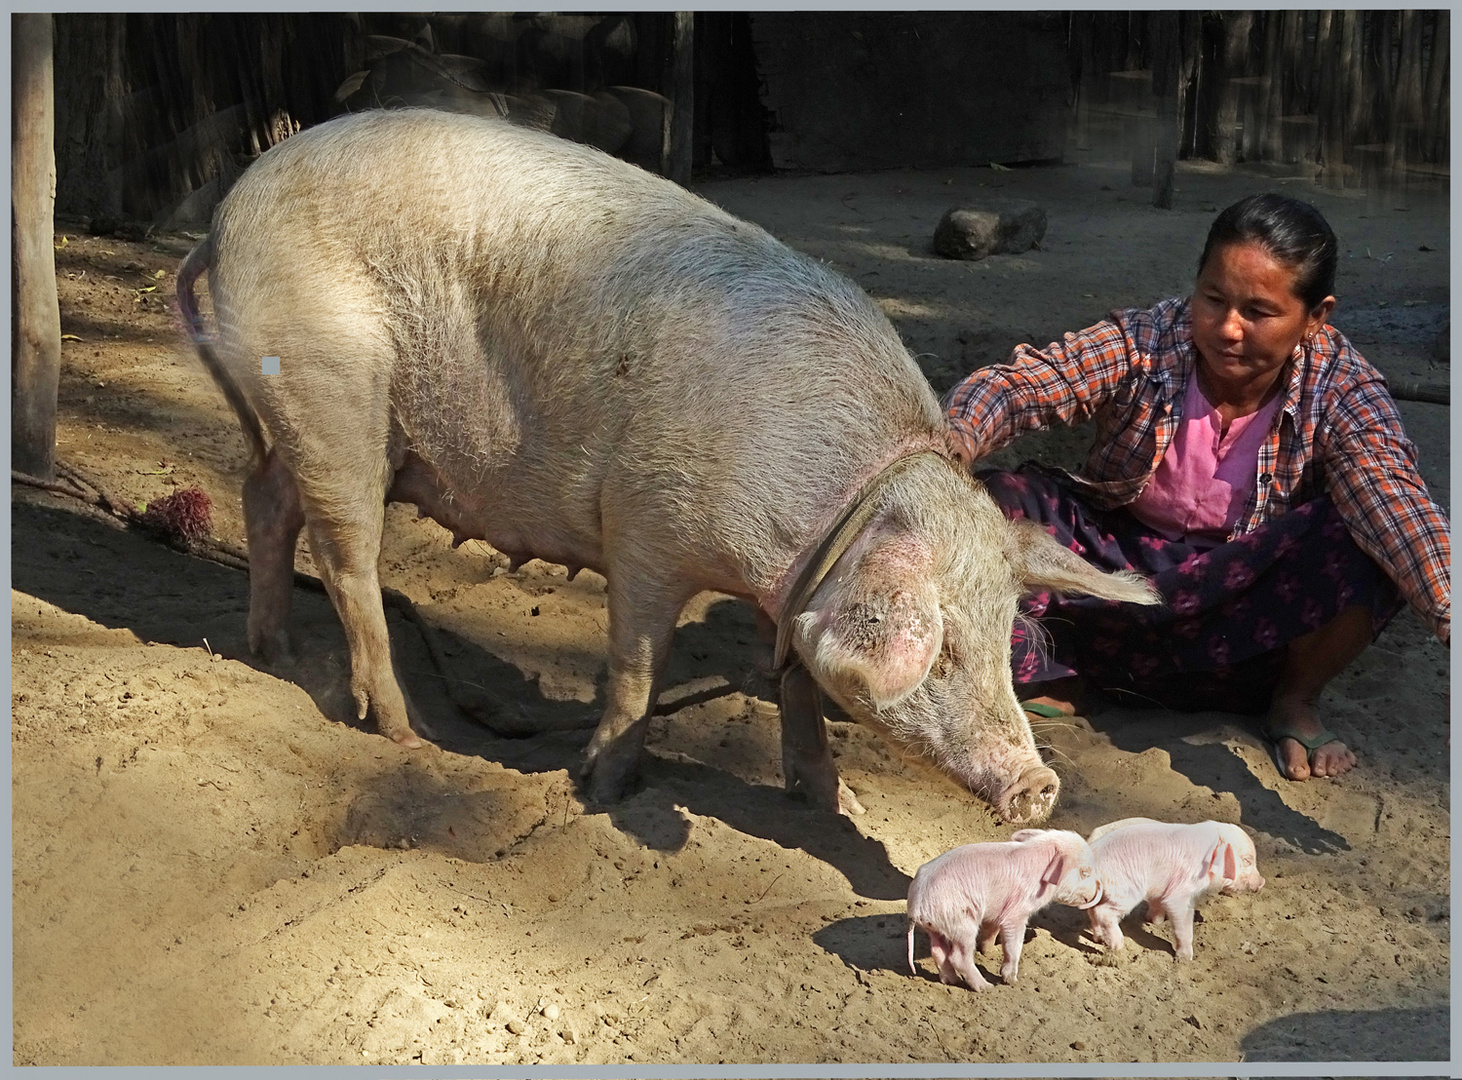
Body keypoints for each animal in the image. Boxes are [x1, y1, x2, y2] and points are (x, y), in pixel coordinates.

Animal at [173, 105, 1152, 824]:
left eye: (1005, 632)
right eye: (943, 649)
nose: (1040, 786)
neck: (834, 507)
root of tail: (223, 219)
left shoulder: (792, 584)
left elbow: (795, 682)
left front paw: (833, 802)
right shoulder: (645, 528)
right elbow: (638, 666)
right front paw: (603, 790)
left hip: (297, 417)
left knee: (265, 499)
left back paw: (274, 653)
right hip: (332, 395)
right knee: (347, 558)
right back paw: (402, 731)